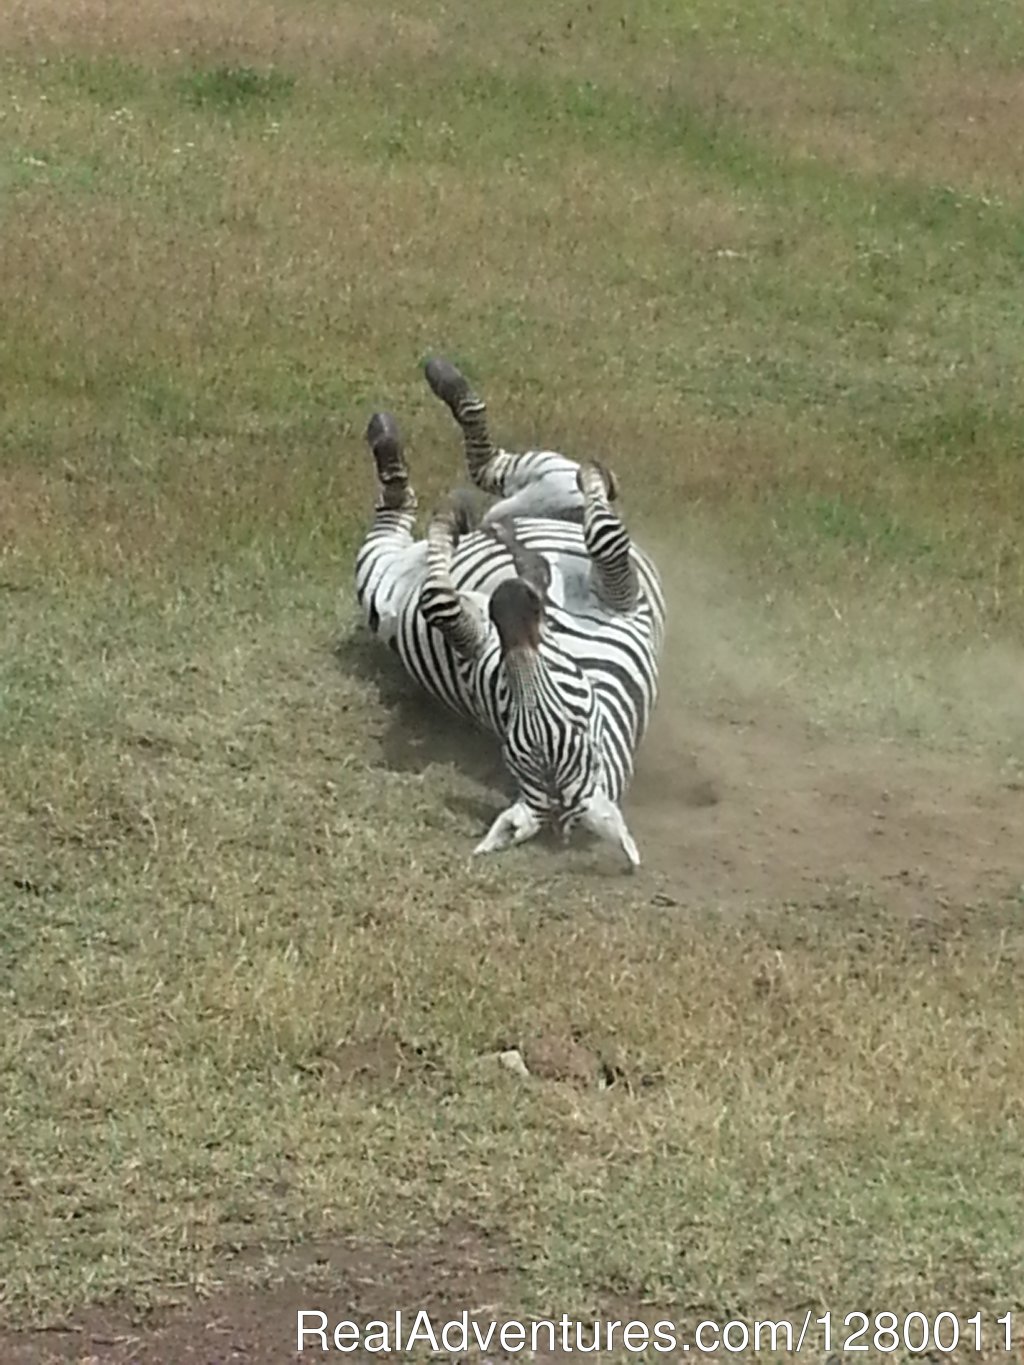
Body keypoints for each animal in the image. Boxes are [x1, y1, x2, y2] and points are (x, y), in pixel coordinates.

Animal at [357, 352, 669, 862]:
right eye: (508, 709)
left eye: (577, 720)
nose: (510, 597)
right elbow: (440, 600)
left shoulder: (619, 599)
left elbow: (439, 601)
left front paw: (453, 528)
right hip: (538, 491)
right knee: (490, 472)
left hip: (385, 567)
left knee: (442, 489)